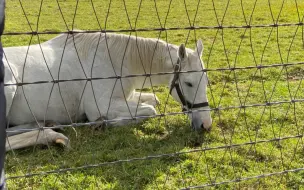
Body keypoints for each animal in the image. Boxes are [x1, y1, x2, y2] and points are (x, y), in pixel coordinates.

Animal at [3, 31, 211, 151]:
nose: (206, 125)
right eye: (189, 83)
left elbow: (154, 101)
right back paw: (53, 137)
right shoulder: (101, 107)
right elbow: (150, 110)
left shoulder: (127, 96)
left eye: (206, 82)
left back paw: (45, 124)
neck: (117, 59)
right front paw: (103, 123)